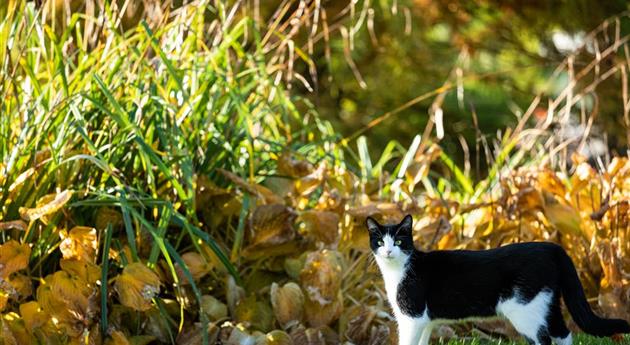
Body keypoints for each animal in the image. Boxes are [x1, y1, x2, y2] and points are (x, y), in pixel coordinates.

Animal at [366, 215, 630, 344]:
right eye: (379, 241)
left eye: (399, 241)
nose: (388, 250)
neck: (398, 270)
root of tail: (552, 247)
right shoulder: (426, 321)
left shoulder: (412, 317)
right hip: (547, 302)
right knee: (563, 333)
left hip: (525, 310)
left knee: (543, 339)